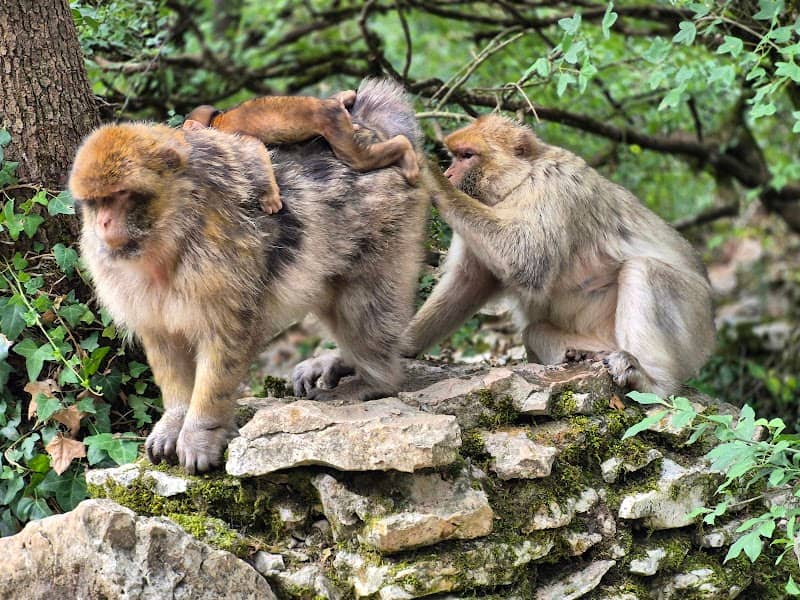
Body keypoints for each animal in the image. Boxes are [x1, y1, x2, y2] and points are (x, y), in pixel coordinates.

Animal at [183, 89, 420, 215]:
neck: (217, 121)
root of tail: (329, 105)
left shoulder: (231, 135)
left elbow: (255, 148)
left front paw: (269, 197)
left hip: (333, 122)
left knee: (359, 158)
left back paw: (405, 148)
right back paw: (345, 97)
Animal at [402, 115, 715, 398]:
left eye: (467, 156)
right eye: (454, 156)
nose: (449, 175)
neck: (519, 183)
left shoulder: (555, 185)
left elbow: (526, 258)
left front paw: (430, 176)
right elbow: (470, 282)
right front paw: (404, 344)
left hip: (695, 320)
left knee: (643, 269)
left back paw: (651, 382)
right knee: (535, 331)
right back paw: (579, 357)